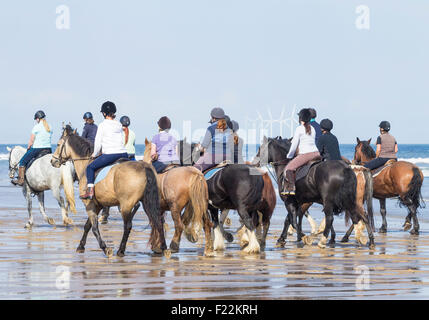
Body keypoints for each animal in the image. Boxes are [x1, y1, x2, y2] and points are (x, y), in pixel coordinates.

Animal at [50, 125, 167, 258]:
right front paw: (80, 246)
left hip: (126, 205)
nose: (52, 161)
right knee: (158, 220)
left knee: (128, 226)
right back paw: (162, 248)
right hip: (148, 202)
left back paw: (121, 250)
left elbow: (94, 228)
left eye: (58, 144)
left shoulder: (89, 204)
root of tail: (144, 167)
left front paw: (105, 248)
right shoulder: (98, 205)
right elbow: (87, 226)